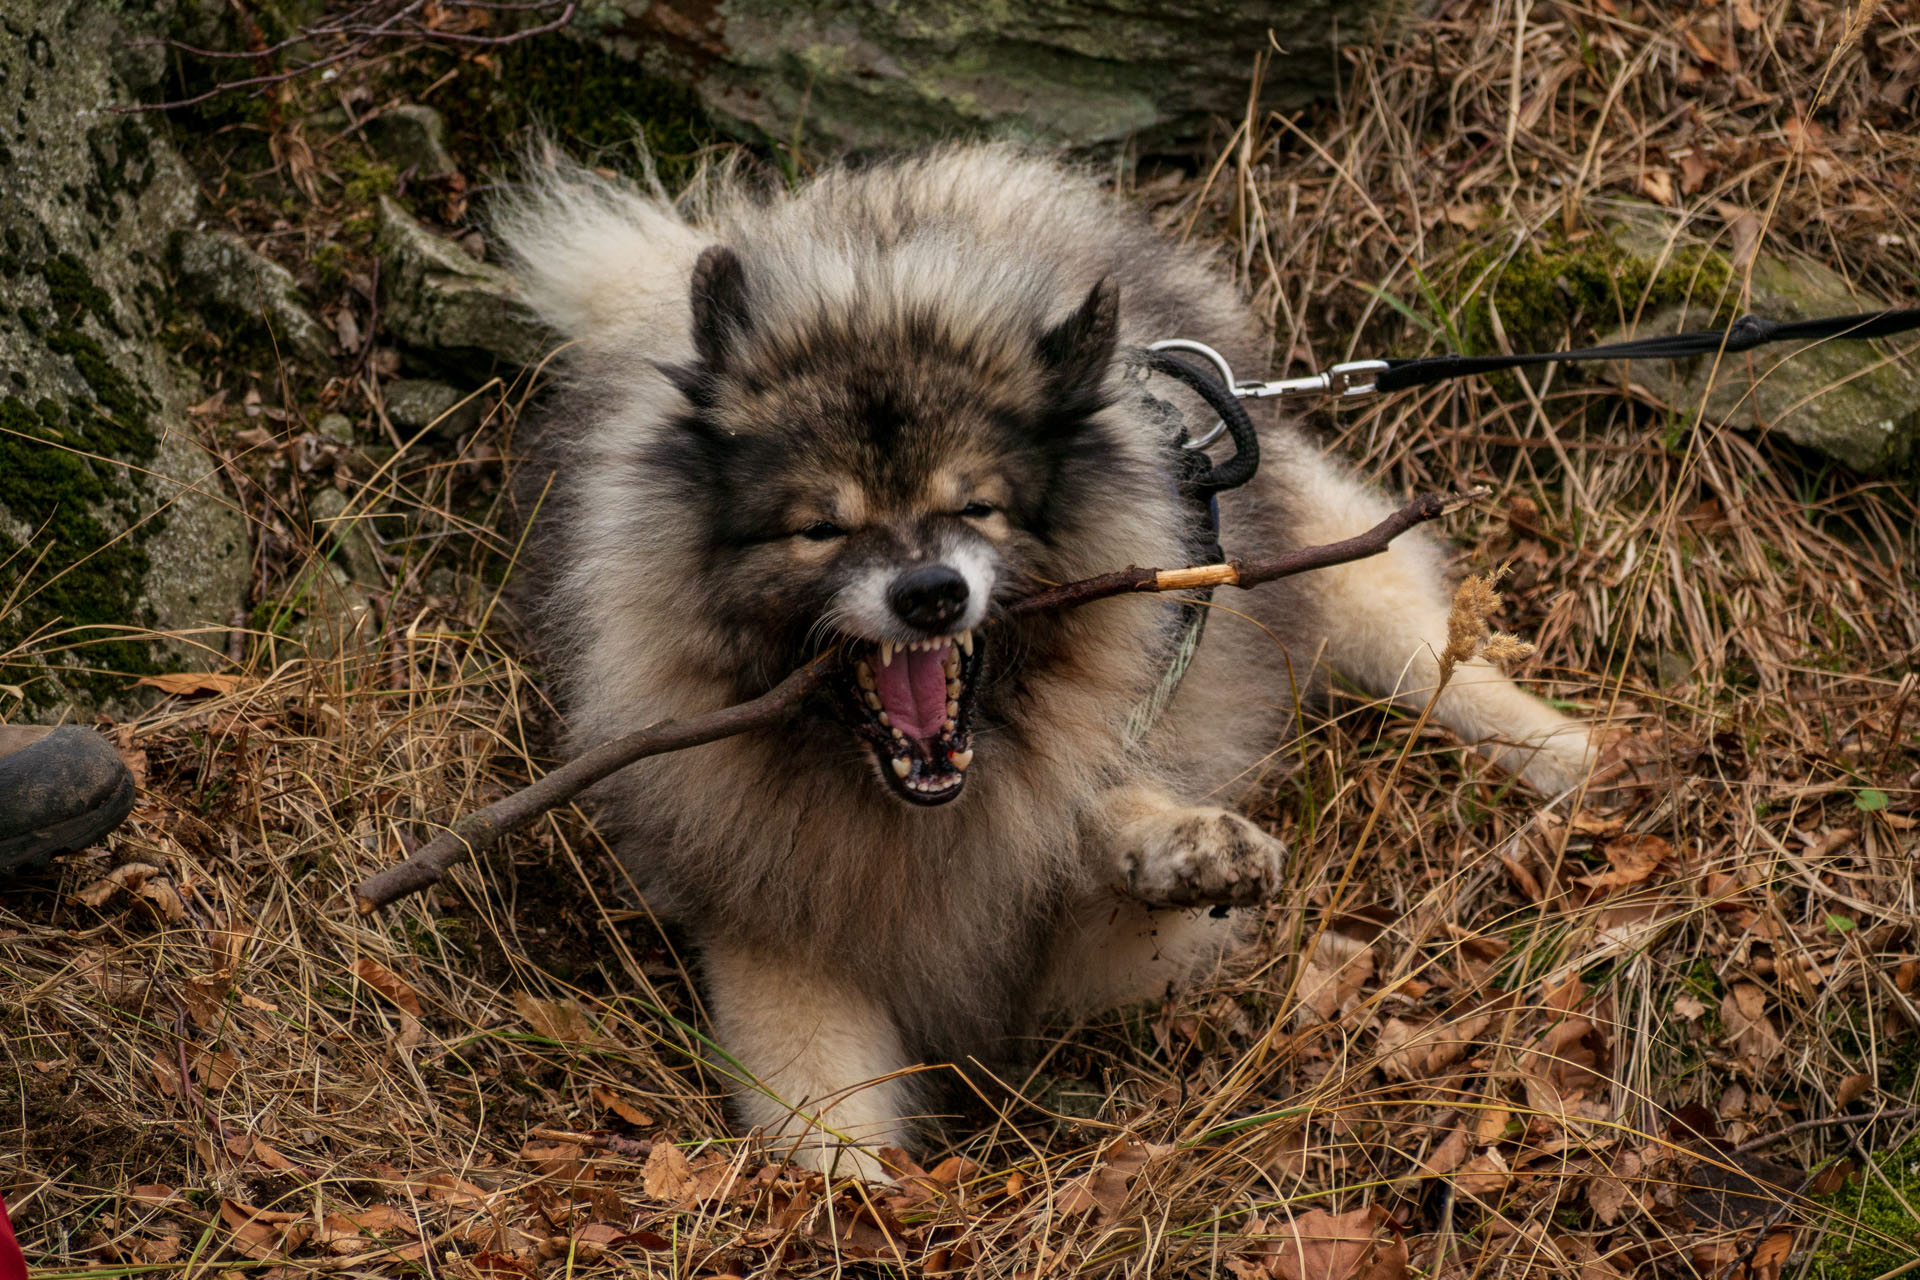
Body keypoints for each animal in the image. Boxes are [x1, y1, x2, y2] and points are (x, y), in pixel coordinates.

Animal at [499, 144, 1589, 1174]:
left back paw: (1576, 759)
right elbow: (829, 1122)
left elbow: (1094, 823)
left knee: (1423, 646)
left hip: (1322, 561)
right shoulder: (778, 933)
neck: (914, 808)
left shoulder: (1086, 918)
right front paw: (861, 1202)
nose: (930, 590)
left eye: (976, 506)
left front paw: (1184, 843)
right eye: (821, 528)